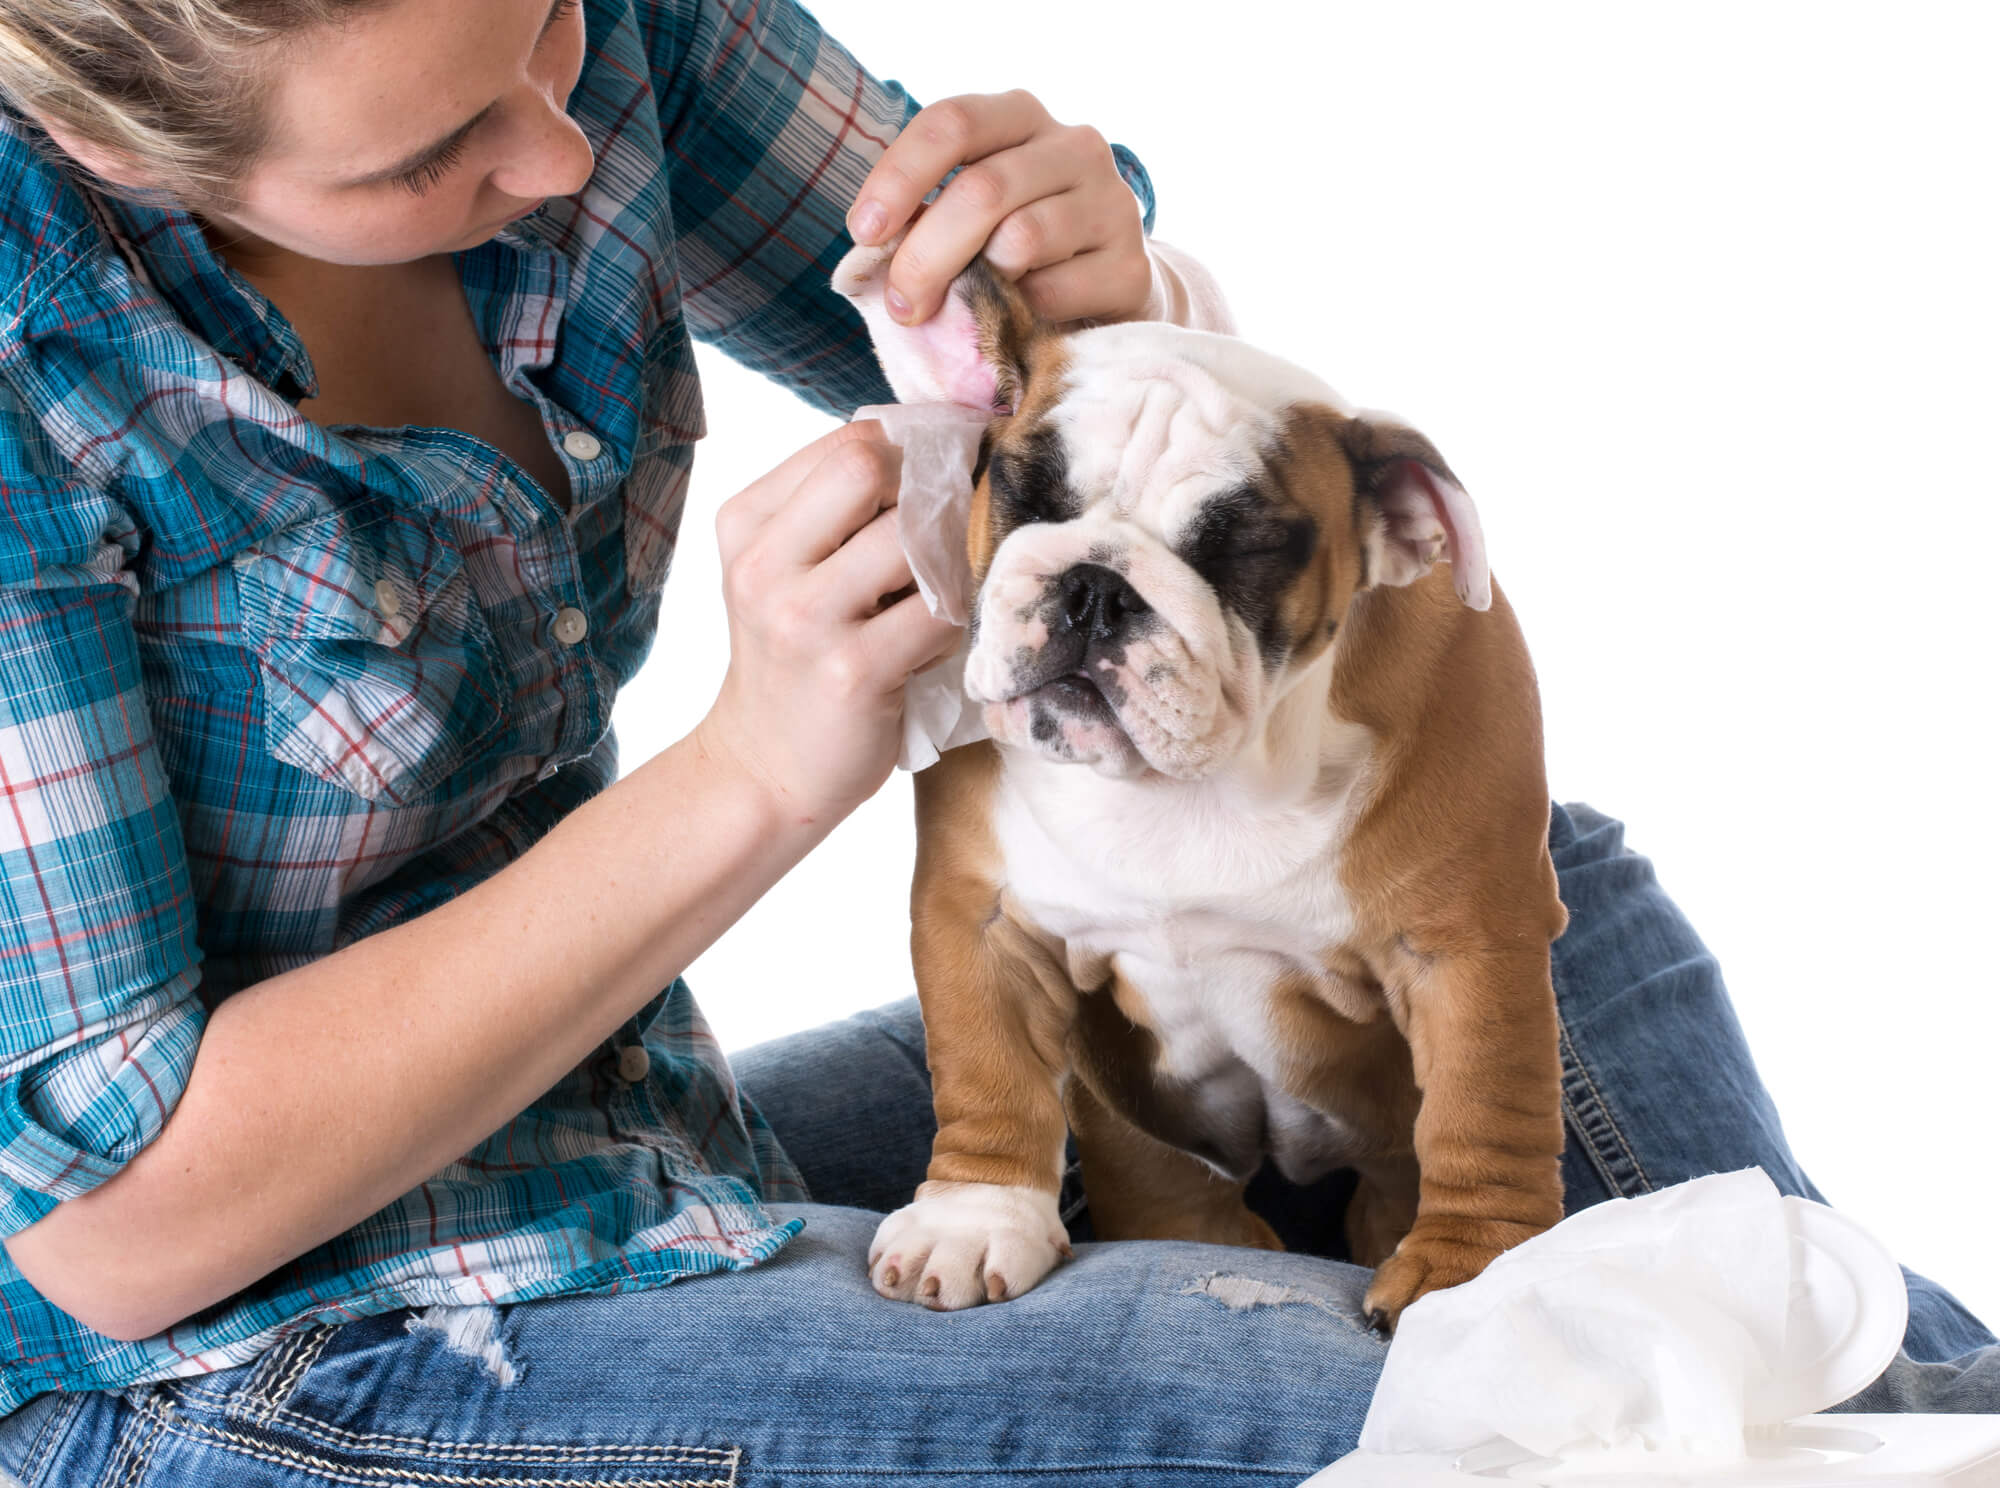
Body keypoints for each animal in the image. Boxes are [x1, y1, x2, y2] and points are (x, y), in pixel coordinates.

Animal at [836, 238, 1568, 1328]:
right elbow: (986, 1064)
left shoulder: (1468, 941)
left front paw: (1472, 1276)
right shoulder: (982, 915)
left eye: (1244, 548)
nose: (1094, 588)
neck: (1204, 775)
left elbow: (1487, 1104)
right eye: (1025, 492)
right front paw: (972, 1217)